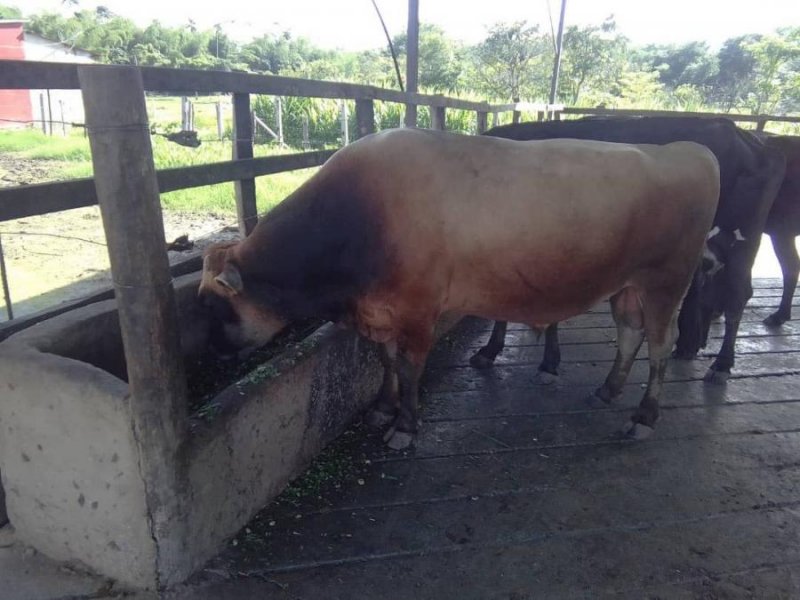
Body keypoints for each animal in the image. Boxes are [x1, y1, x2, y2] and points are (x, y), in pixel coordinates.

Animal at [198, 131, 720, 450]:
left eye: (214, 306)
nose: (214, 356)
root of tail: (688, 149)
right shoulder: (380, 312)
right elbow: (386, 361)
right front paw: (382, 407)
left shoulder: (417, 311)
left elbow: (410, 368)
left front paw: (405, 425)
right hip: (626, 286)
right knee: (630, 334)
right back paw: (608, 390)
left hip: (667, 281)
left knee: (660, 345)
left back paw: (644, 416)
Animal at [472, 115, 784, 382]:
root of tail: (749, 139)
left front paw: (542, 361)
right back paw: (691, 347)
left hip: (742, 243)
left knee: (737, 296)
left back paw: (721, 364)